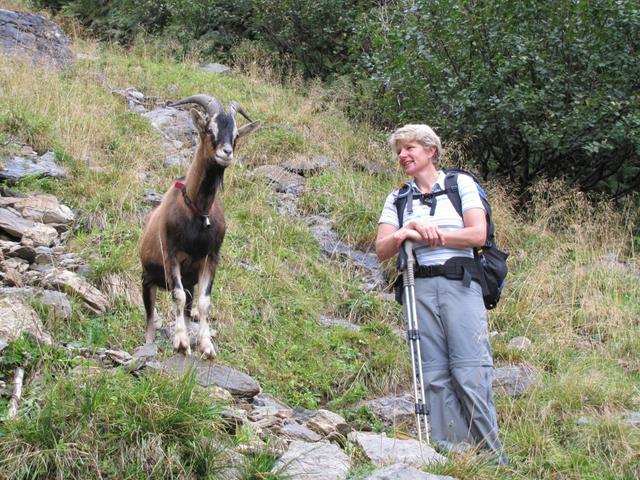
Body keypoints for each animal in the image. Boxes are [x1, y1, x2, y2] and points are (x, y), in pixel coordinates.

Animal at [139, 94, 260, 358]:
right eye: (209, 129)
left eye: (236, 135)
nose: (226, 153)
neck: (198, 211)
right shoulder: (171, 256)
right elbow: (176, 297)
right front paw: (181, 342)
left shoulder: (210, 259)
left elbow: (205, 302)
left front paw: (206, 345)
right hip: (147, 280)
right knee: (151, 320)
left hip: (189, 283)